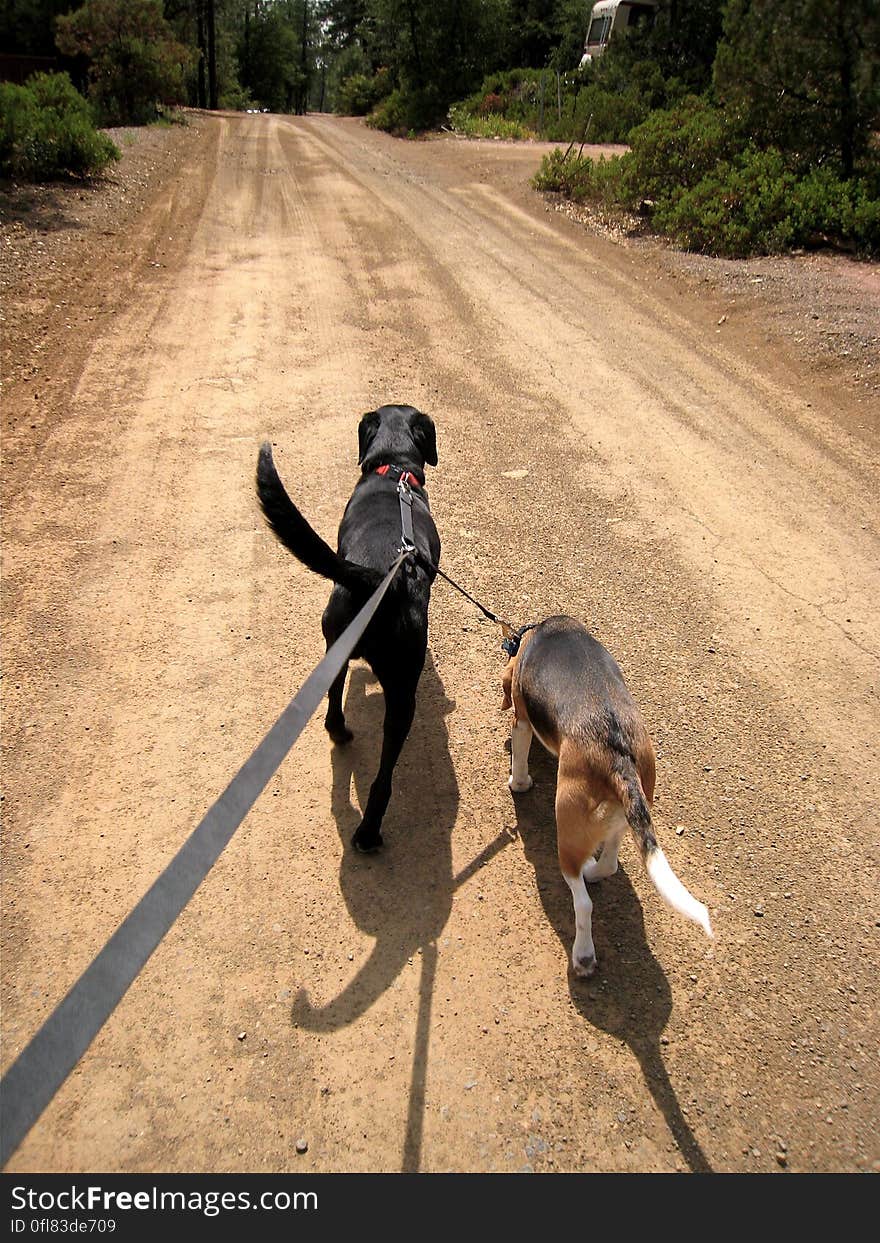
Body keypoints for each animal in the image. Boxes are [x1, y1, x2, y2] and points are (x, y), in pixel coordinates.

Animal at [257, 407, 442, 855]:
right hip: (402, 691)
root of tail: (379, 578)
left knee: (333, 705)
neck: (392, 470)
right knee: (383, 778)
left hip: (334, 645)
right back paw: (370, 832)